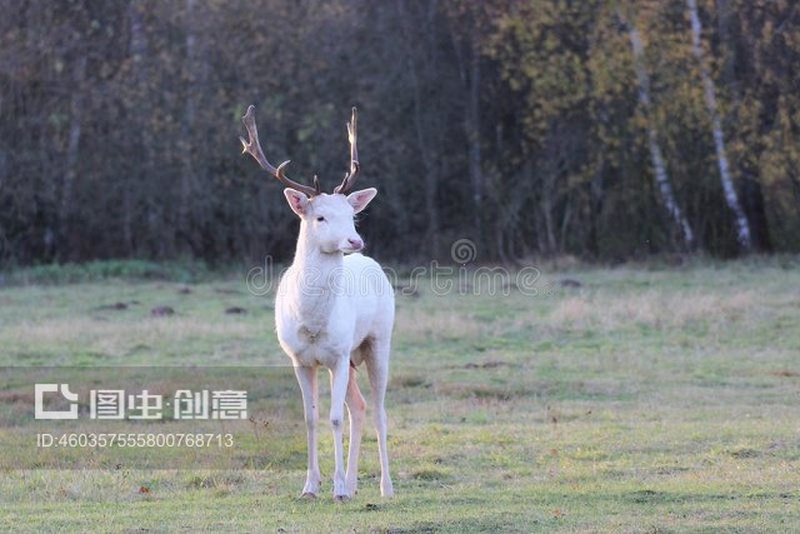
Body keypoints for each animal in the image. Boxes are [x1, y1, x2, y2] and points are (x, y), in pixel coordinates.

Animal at [239, 105, 394, 501]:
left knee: (379, 409)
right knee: (359, 406)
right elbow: (310, 418)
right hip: (351, 358)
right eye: (320, 216)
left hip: (377, 341)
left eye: (352, 215)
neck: (311, 322)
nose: (355, 240)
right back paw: (354, 484)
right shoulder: (300, 359)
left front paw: (336, 488)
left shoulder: (336, 355)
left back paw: (384, 486)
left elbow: (333, 417)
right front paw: (311, 486)